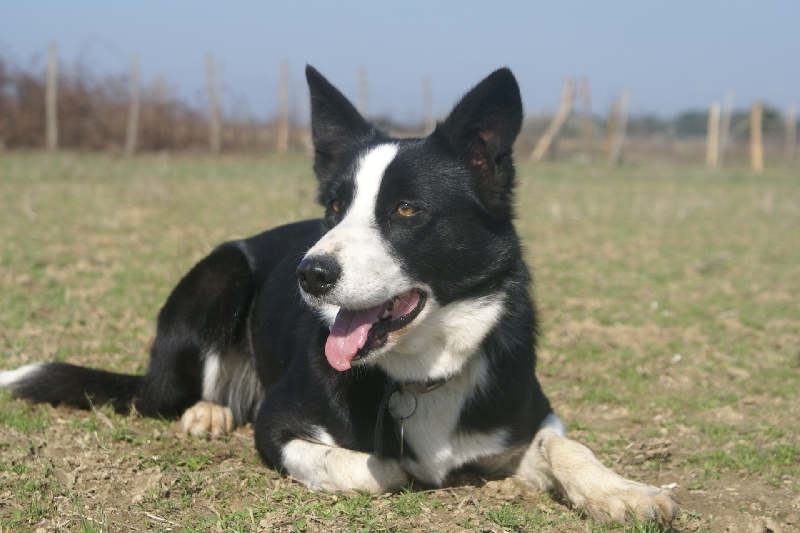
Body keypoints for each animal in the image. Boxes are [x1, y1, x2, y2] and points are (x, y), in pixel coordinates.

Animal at [1, 65, 676, 524]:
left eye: (406, 209)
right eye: (333, 207)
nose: (311, 274)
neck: (418, 375)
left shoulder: (528, 417)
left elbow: (568, 445)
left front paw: (624, 492)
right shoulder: (278, 428)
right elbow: (374, 469)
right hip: (218, 276)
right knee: (175, 393)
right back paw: (207, 411)